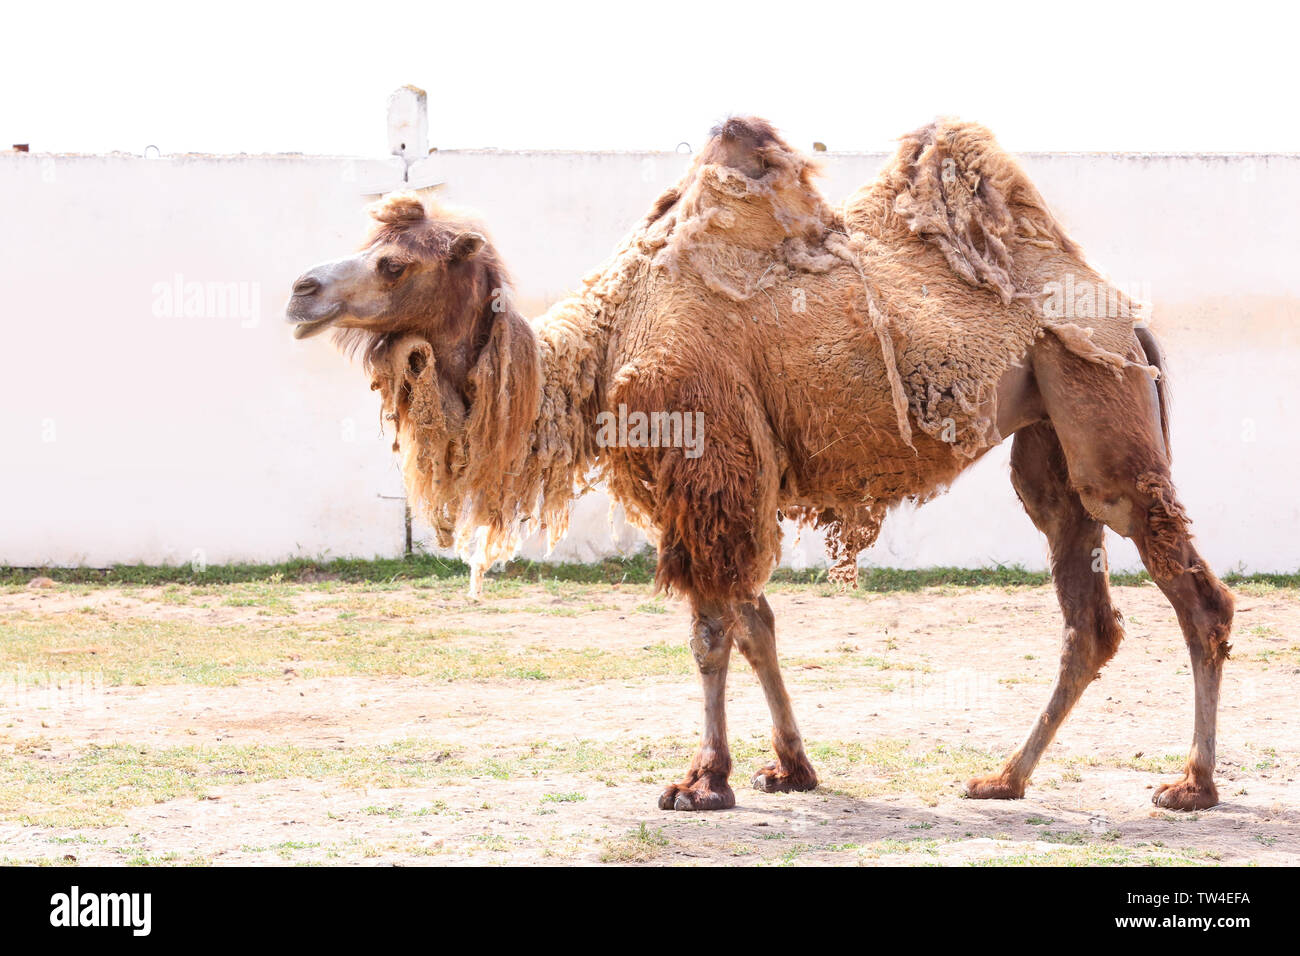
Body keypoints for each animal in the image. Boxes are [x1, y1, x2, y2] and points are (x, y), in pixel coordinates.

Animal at [287, 115, 1237, 811]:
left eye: (392, 262)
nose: (301, 290)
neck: (602, 346)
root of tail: (1126, 318)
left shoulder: (710, 463)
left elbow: (712, 632)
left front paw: (704, 782)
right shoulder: (720, 483)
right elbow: (754, 622)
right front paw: (789, 767)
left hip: (1097, 402)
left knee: (1192, 590)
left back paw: (1190, 785)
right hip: (1048, 438)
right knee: (1087, 614)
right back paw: (1003, 777)